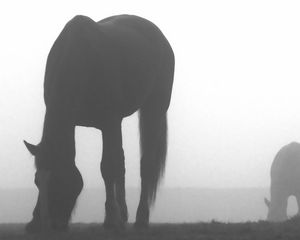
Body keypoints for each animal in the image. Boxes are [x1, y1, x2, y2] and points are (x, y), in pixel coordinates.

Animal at [24, 15, 175, 232]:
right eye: (37, 181)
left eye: (58, 180)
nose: (43, 226)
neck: (80, 59)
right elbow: (115, 165)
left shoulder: (109, 122)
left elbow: (108, 167)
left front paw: (111, 219)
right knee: (122, 161)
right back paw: (124, 215)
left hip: (153, 109)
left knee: (145, 164)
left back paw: (140, 218)